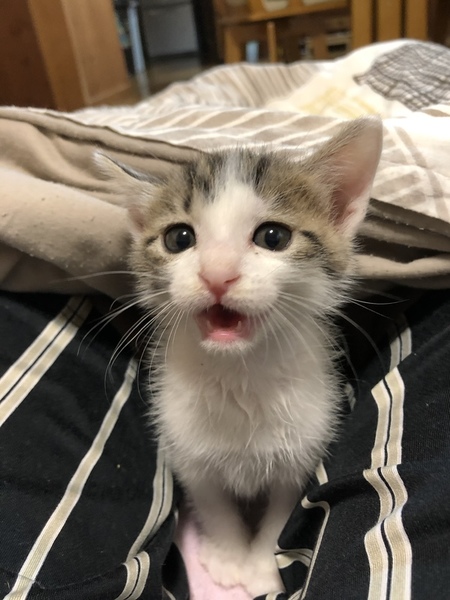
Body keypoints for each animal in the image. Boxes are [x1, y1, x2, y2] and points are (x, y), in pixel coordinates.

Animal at [99, 116, 382, 597]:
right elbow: (213, 503)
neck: (239, 374)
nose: (217, 274)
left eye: (274, 236)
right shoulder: (187, 449)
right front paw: (230, 556)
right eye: (179, 238)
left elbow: (283, 512)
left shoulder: (301, 448)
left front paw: (261, 566)